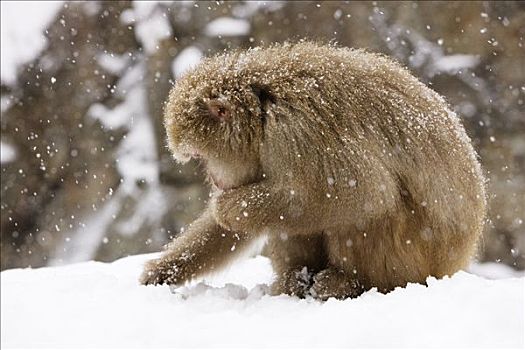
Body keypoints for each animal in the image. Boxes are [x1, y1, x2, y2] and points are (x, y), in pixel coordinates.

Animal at [138, 41, 484, 298]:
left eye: (199, 156)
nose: (212, 177)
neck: (262, 110)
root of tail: (455, 262)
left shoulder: (297, 131)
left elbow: (368, 192)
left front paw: (229, 207)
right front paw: (165, 271)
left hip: (414, 257)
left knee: (362, 212)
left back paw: (348, 283)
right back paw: (296, 279)